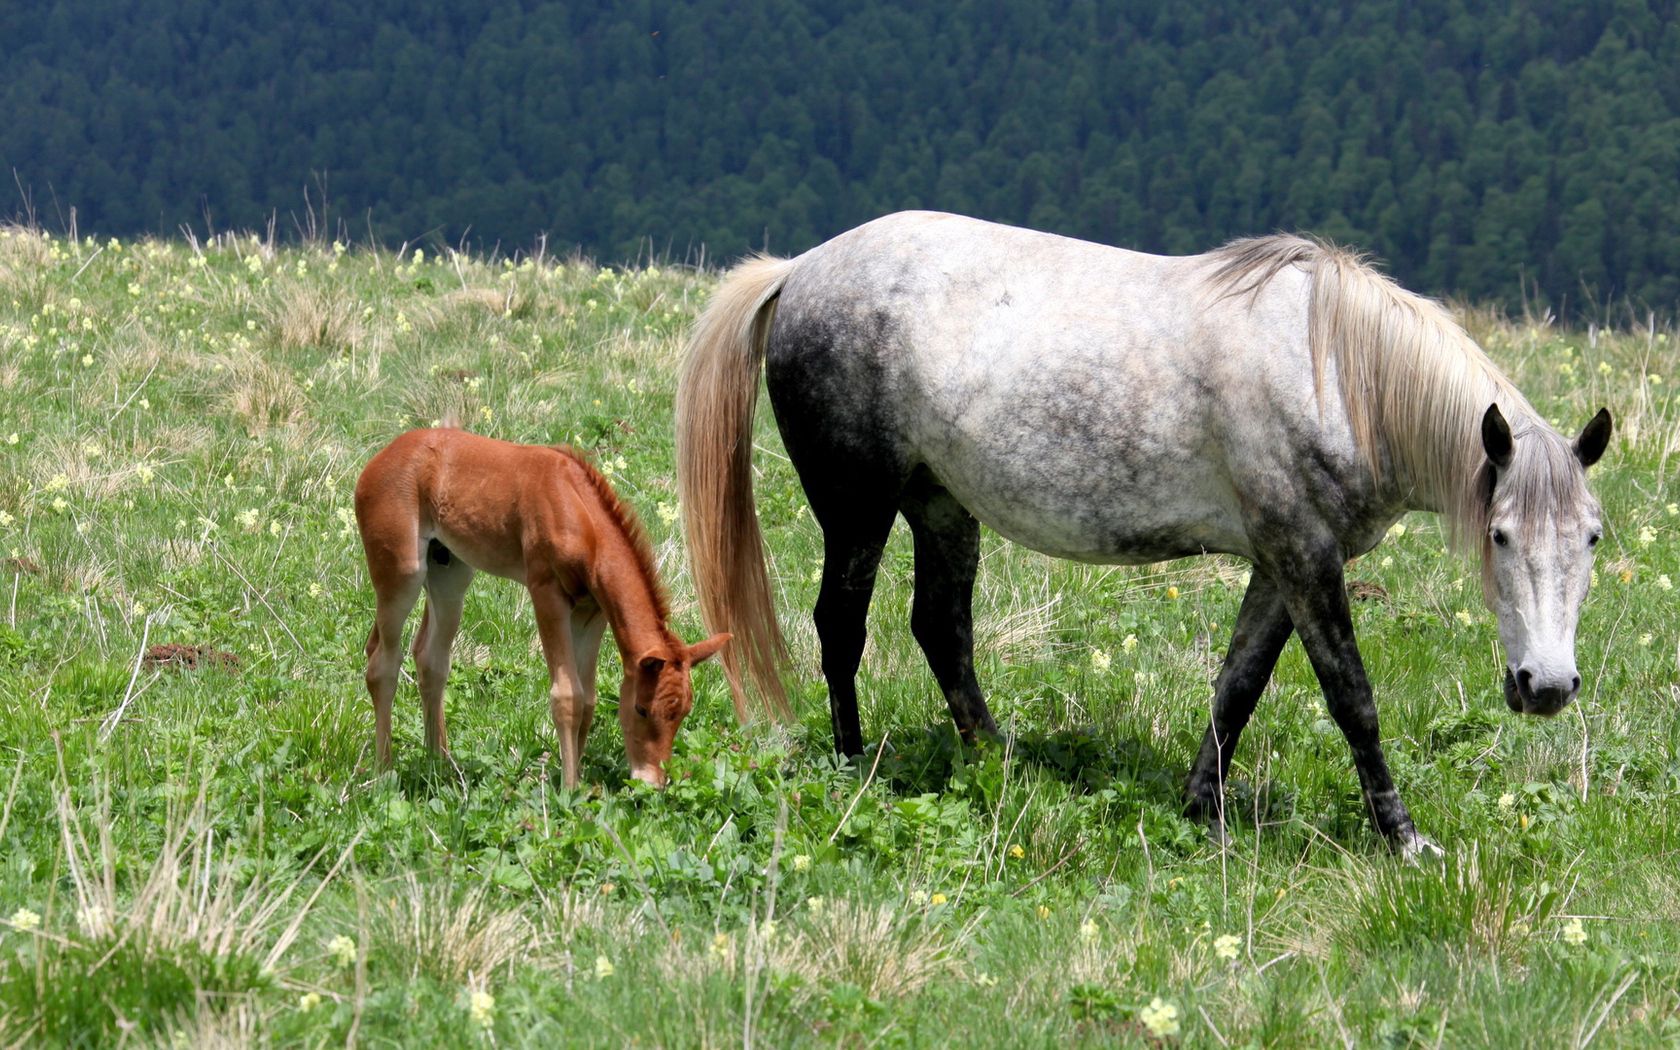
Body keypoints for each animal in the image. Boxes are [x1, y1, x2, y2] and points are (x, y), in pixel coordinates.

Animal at [354, 428, 729, 786]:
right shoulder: (546, 593)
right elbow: (567, 696)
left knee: (430, 659)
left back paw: (439, 764)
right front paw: (568, 789)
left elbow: (588, 699)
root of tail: (377, 461)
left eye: (683, 713)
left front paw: (579, 783)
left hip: (450, 573)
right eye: (640, 709)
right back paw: (383, 771)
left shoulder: (592, 611)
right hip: (402, 571)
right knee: (382, 662)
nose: (651, 782)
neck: (577, 510)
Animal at [675, 209, 1606, 856]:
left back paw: (1001, 762)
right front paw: (1404, 838)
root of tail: (799, 271)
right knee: (842, 626)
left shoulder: (1281, 563)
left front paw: (1203, 811)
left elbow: (1237, 686)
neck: (1335, 371)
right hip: (858, 507)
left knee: (940, 628)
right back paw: (853, 763)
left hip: (940, 505)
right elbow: (1353, 699)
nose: (1547, 686)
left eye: (1592, 537)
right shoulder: (1306, 559)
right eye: (1499, 536)